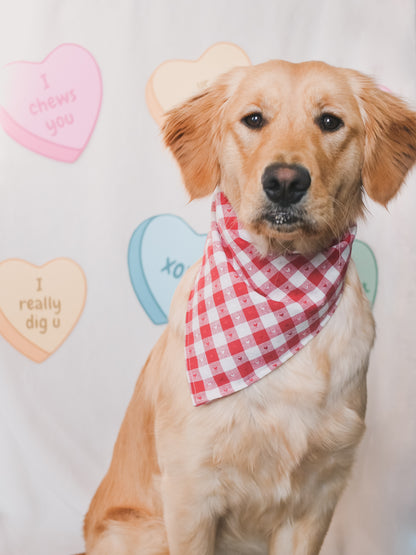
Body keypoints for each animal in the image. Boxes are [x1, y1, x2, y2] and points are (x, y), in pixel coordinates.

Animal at [83, 58, 416, 552]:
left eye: (330, 122)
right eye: (254, 119)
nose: (285, 182)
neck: (279, 289)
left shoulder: (316, 498)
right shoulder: (190, 493)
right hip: (144, 532)